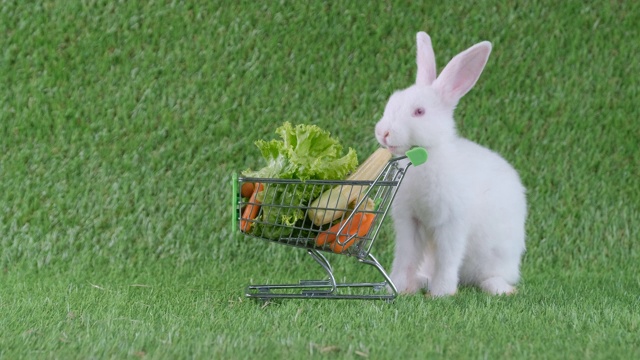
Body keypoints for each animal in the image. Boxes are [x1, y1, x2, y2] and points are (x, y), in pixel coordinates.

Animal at [376, 31, 524, 296]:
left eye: (419, 112)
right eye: (392, 101)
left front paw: (441, 294)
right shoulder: (410, 223)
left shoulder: (452, 224)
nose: (384, 133)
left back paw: (499, 289)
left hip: (497, 257)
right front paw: (400, 287)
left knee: (492, 276)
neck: (424, 158)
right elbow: (405, 257)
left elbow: (447, 259)